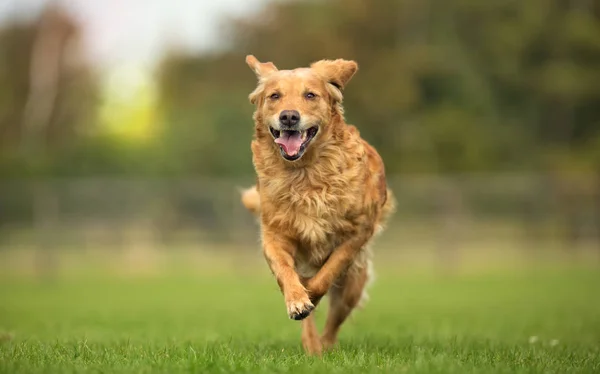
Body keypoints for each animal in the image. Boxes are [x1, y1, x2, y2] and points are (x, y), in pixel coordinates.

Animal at [241, 54, 396, 356]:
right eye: (274, 96)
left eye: (310, 95)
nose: (289, 116)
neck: (304, 174)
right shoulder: (274, 235)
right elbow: (286, 272)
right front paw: (298, 300)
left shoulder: (357, 233)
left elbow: (329, 271)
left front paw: (310, 292)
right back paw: (312, 344)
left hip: (352, 286)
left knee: (334, 322)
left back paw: (324, 346)